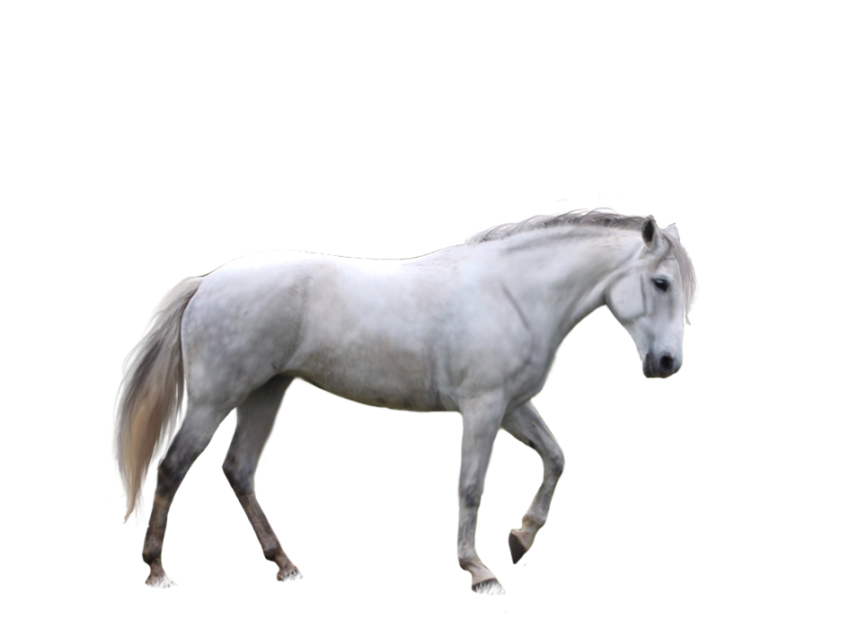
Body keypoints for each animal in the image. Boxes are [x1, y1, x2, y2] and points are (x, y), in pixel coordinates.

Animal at [111, 205, 698, 595]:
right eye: (661, 282)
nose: (667, 363)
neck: (516, 294)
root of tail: (208, 282)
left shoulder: (512, 407)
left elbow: (556, 458)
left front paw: (521, 539)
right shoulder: (483, 407)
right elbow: (471, 486)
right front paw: (479, 570)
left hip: (266, 394)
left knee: (238, 470)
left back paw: (285, 564)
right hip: (217, 398)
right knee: (174, 467)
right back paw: (157, 569)